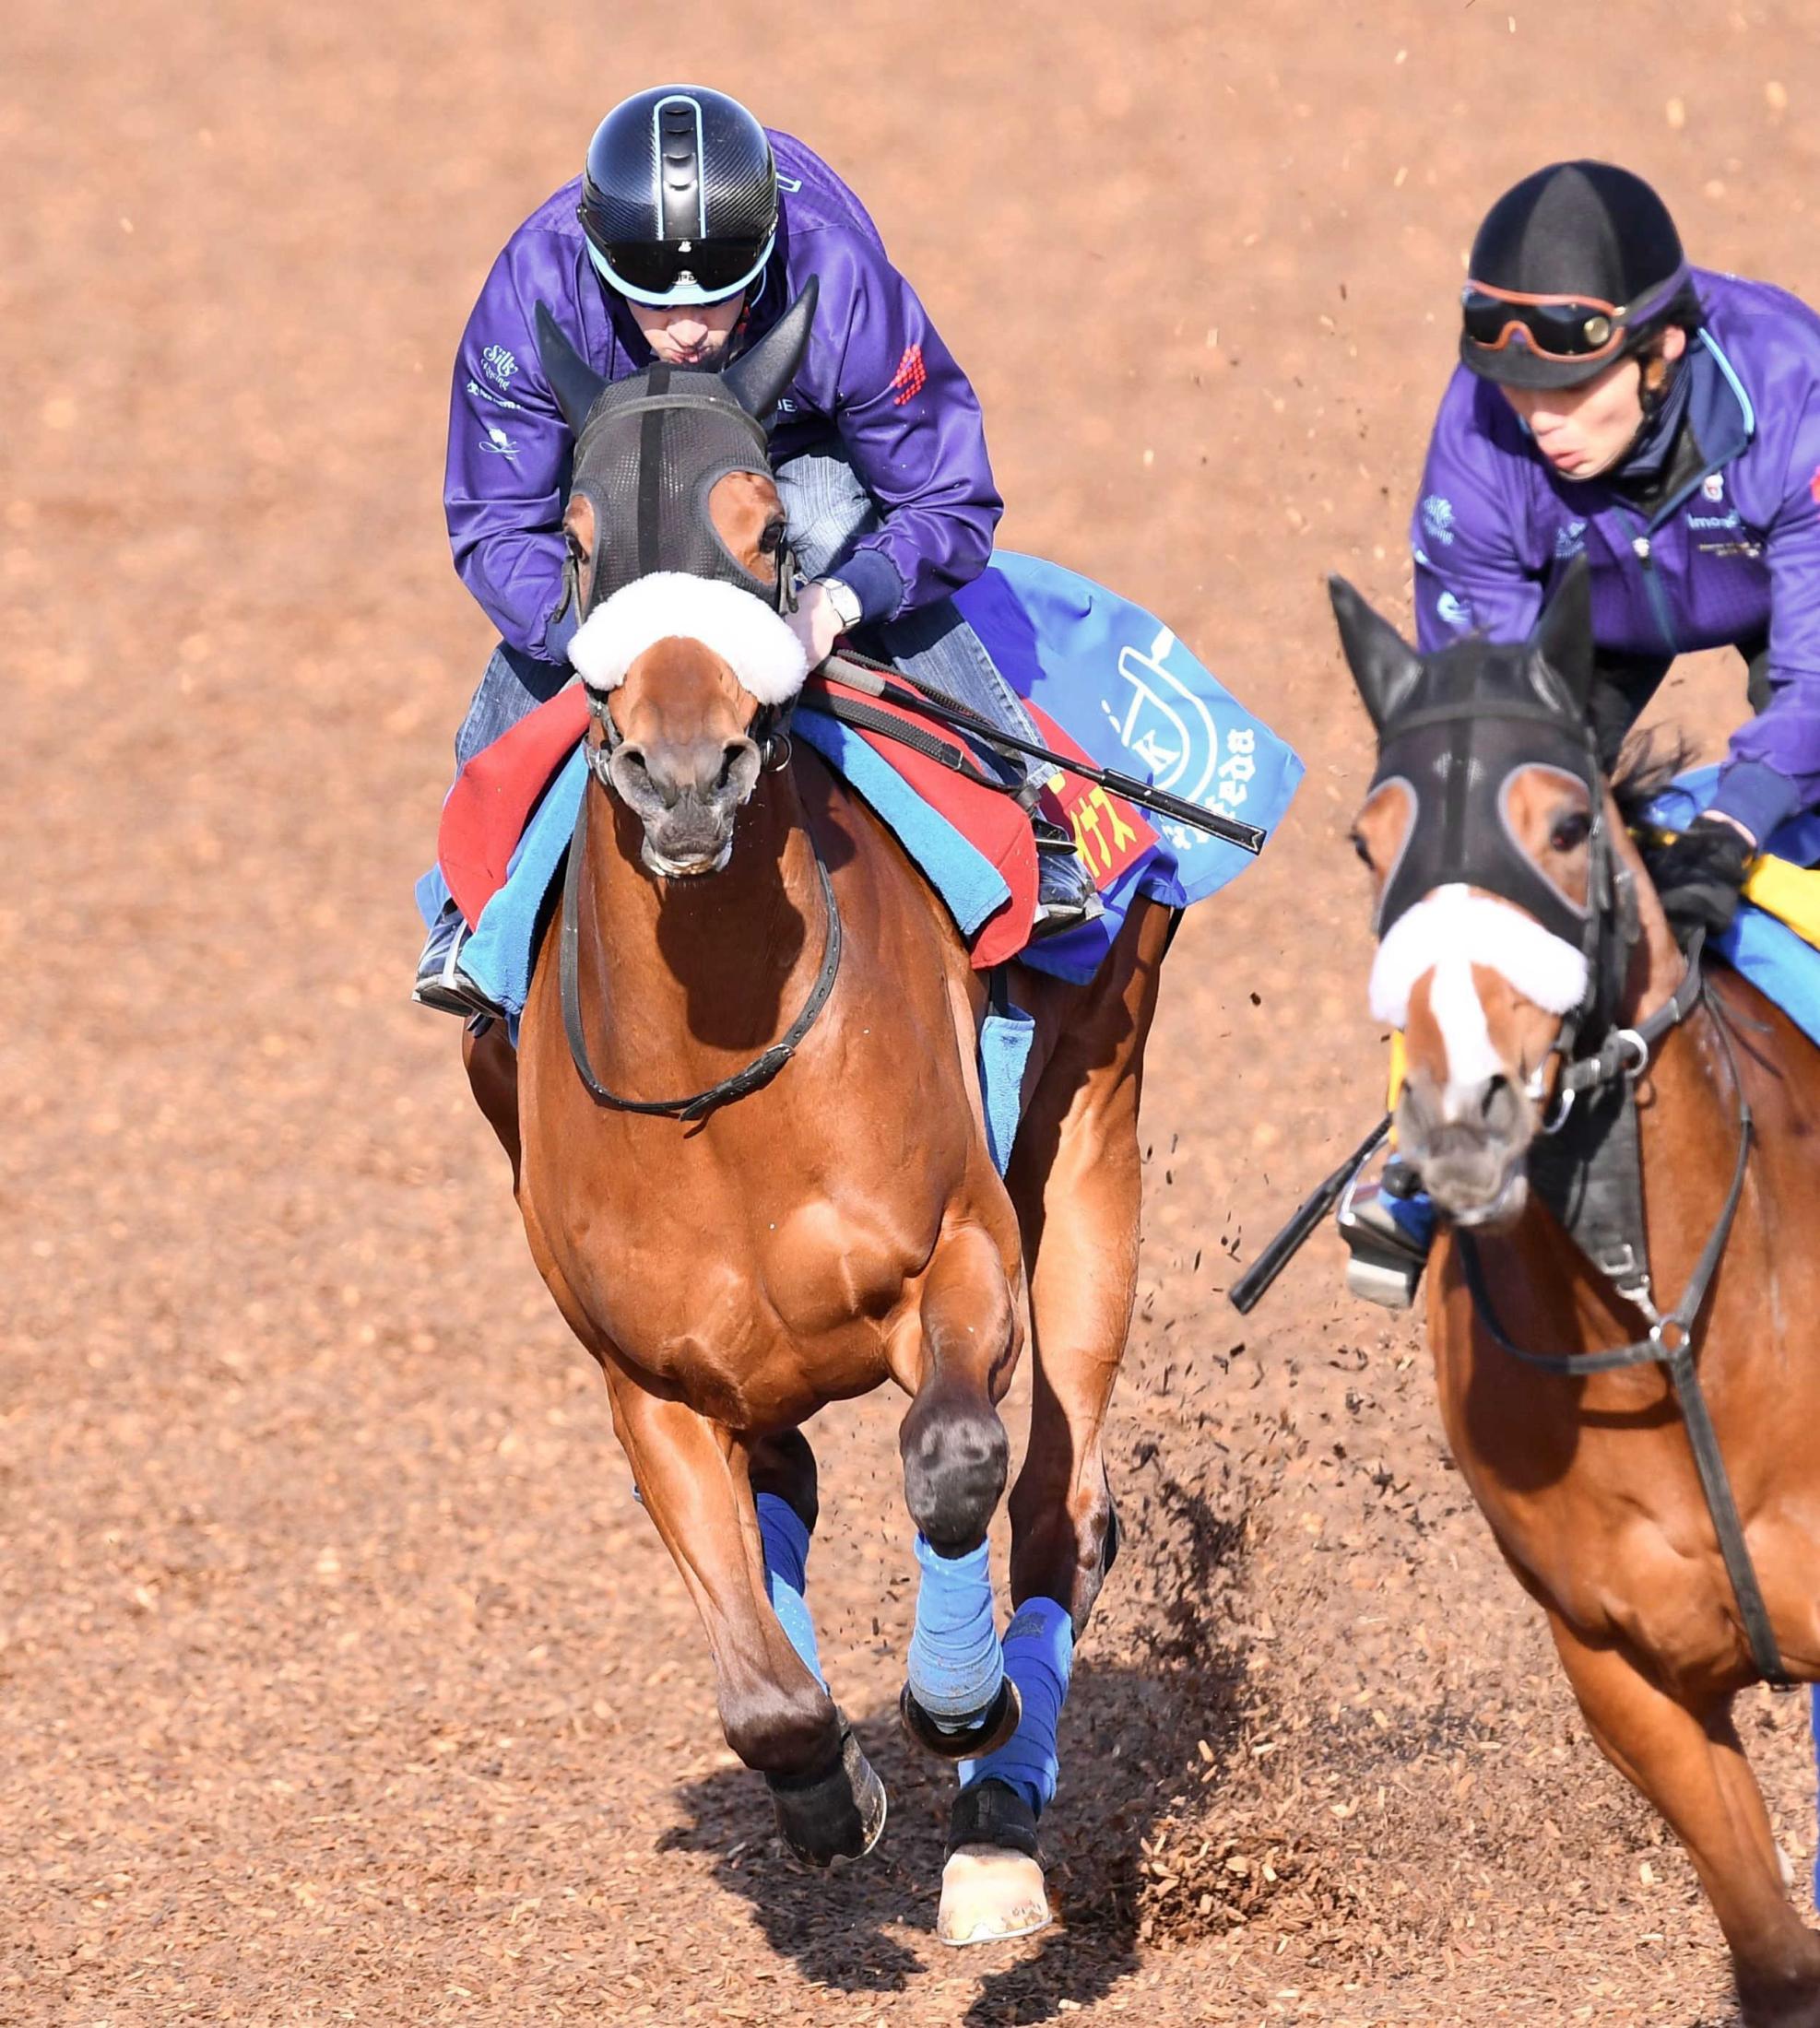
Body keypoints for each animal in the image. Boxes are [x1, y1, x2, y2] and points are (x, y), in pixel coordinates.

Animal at [454, 294, 1168, 1939]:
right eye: (573, 539)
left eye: (769, 531)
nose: (681, 771)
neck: (722, 1079)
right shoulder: (648, 1375)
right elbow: (761, 1690)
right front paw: (824, 1788)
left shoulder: (957, 1252)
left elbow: (954, 1463)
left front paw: (953, 1710)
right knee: (783, 1486)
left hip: (1093, 1123)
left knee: (1060, 1505)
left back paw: (996, 1822)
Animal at [1330, 560, 1817, 2028]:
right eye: (1370, 843)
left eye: (1560, 822)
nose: (1463, 1114)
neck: (1663, 1332)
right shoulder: (1626, 1681)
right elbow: (1778, 1961)